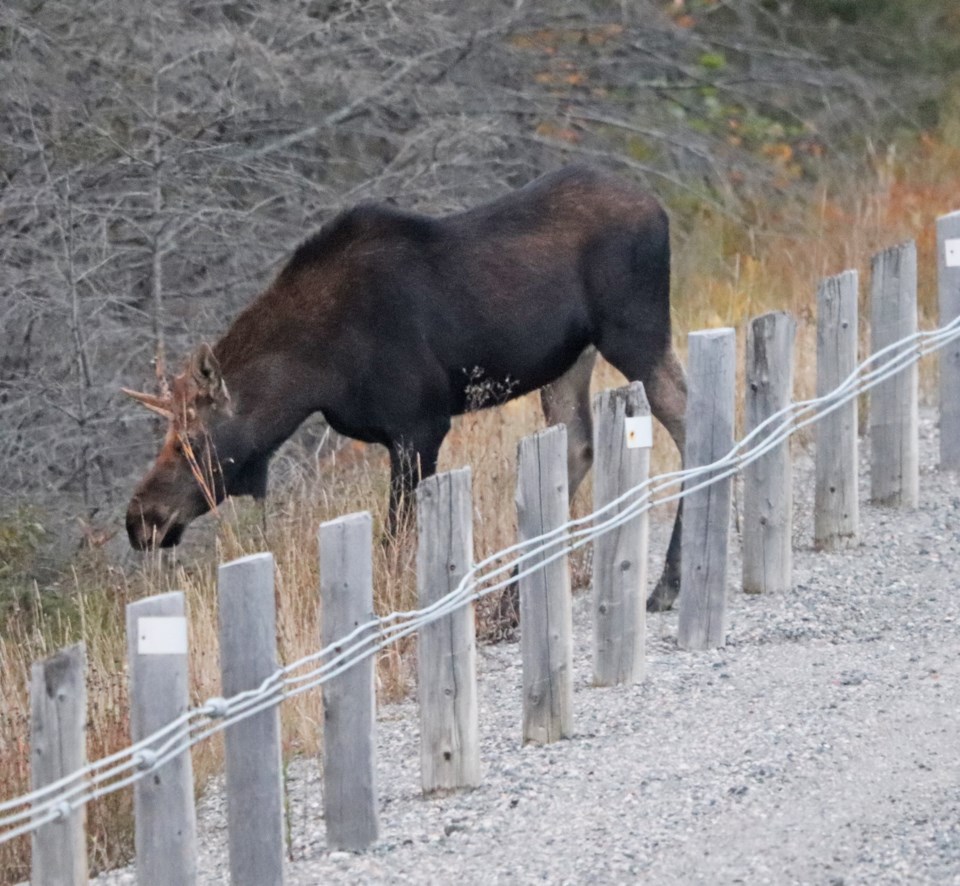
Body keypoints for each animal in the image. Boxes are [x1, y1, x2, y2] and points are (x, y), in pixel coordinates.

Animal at [124, 163, 688, 612]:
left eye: (191, 442)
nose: (140, 518)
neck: (312, 375)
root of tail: (662, 209)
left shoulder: (420, 425)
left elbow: (395, 541)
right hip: (571, 360)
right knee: (578, 445)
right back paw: (513, 598)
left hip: (634, 331)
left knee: (687, 417)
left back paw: (667, 585)